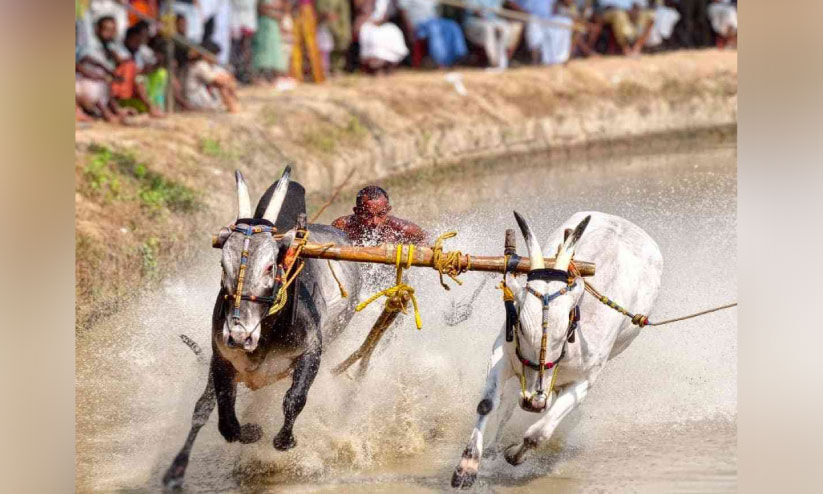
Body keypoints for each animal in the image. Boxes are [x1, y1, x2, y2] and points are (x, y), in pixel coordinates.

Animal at [162, 167, 362, 489]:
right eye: (223, 265)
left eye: (270, 267)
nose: (238, 334)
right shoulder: (221, 358)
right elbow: (226, 420)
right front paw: (253, 431)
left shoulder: (312, 352)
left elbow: (294, 399)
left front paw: (284, 440)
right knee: (203, 408)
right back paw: (176, 470)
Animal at [451, 211, 663, 488]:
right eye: (520, 325)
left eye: (565, 331)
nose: (533, 402)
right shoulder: (503, 354)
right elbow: (487, 404)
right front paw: (467, 466)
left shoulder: (584, 382)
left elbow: (539, 433)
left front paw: (513, 455)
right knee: (506, 407)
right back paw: (491, 449)